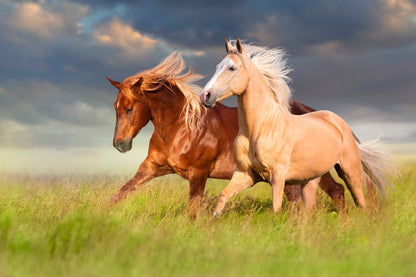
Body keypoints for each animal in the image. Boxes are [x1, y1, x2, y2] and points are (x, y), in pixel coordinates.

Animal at [105, 51, 346, 216]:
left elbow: (193, 209)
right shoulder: (152, 167)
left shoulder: (199, 173)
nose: (120, 144)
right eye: (116, 107)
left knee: (330, 193)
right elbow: (120, 193)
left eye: (129, 108)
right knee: (330, 193)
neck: (182, 128)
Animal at [202, 38, 400, 216]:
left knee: (359, 200)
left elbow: (276, 208)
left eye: (232, 68)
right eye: (217, 66)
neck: (259, 129)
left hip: (350, 171)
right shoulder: (245, 174)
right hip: (311, 180)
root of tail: (339, 122)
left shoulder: (277, 177)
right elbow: (222, 197)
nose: (206, 95)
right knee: (311, 208)